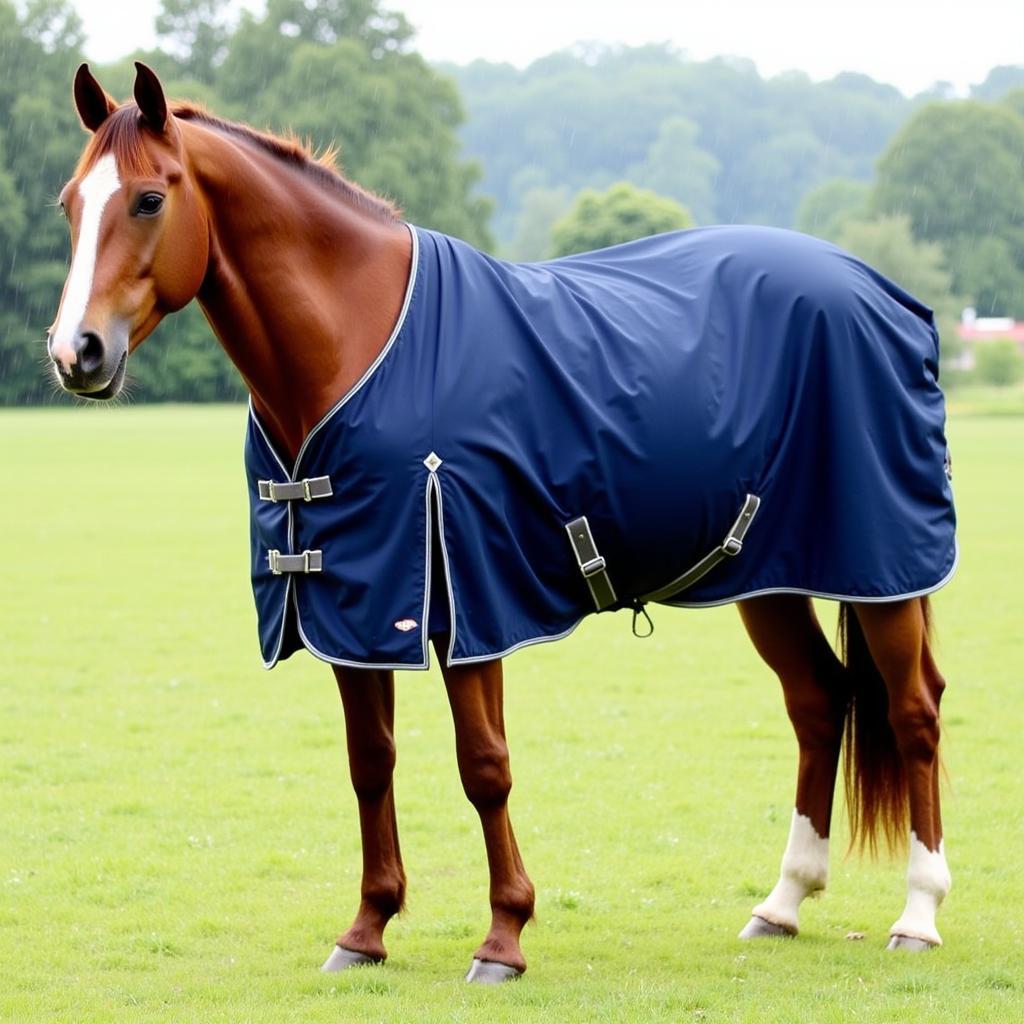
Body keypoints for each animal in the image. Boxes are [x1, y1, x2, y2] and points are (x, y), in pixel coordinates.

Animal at [51, 64, 954, 983]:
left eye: (150, 199)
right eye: (69, 204)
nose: (75, 352)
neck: (358, 342)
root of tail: (888, 297)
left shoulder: (465, 597)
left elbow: (484, 767)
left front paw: (504, 938)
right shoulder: (355, 606)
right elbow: (369, 763)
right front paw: (366, 929)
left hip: (882, 570)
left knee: (914, 710)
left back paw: (918, 914)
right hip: (767, 575)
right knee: (819, 700)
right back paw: (783, 903)